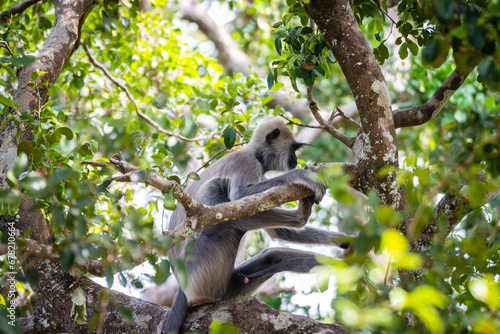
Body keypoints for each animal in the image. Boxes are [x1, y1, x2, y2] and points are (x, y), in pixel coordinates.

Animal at [162, 118, 350, 332]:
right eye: (293, 149)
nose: (295, 160)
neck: (255, 154)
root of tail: (183, 288)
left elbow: (276, 230)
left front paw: (347, 241)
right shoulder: (246, 162)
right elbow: (240, 196)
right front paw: (300, 176)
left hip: (229, 285)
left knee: (274, 257)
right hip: (202, 271)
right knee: (231, 220)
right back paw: (301, 217)